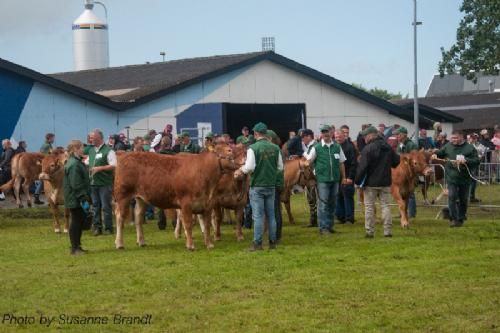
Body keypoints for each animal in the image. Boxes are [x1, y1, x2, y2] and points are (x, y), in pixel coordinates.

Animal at [115, 143, 244, 249]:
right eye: (229, 150)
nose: (244, 160)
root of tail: (124, 154)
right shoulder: (186, 203)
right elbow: (188, 224)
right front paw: (190, 245)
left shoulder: (207, 204)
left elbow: (207, 226)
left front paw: (209, 244)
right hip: (122, 195)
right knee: (120, 218)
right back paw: (119, 243)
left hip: (141, 198)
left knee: (138, 217)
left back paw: (141, 241)